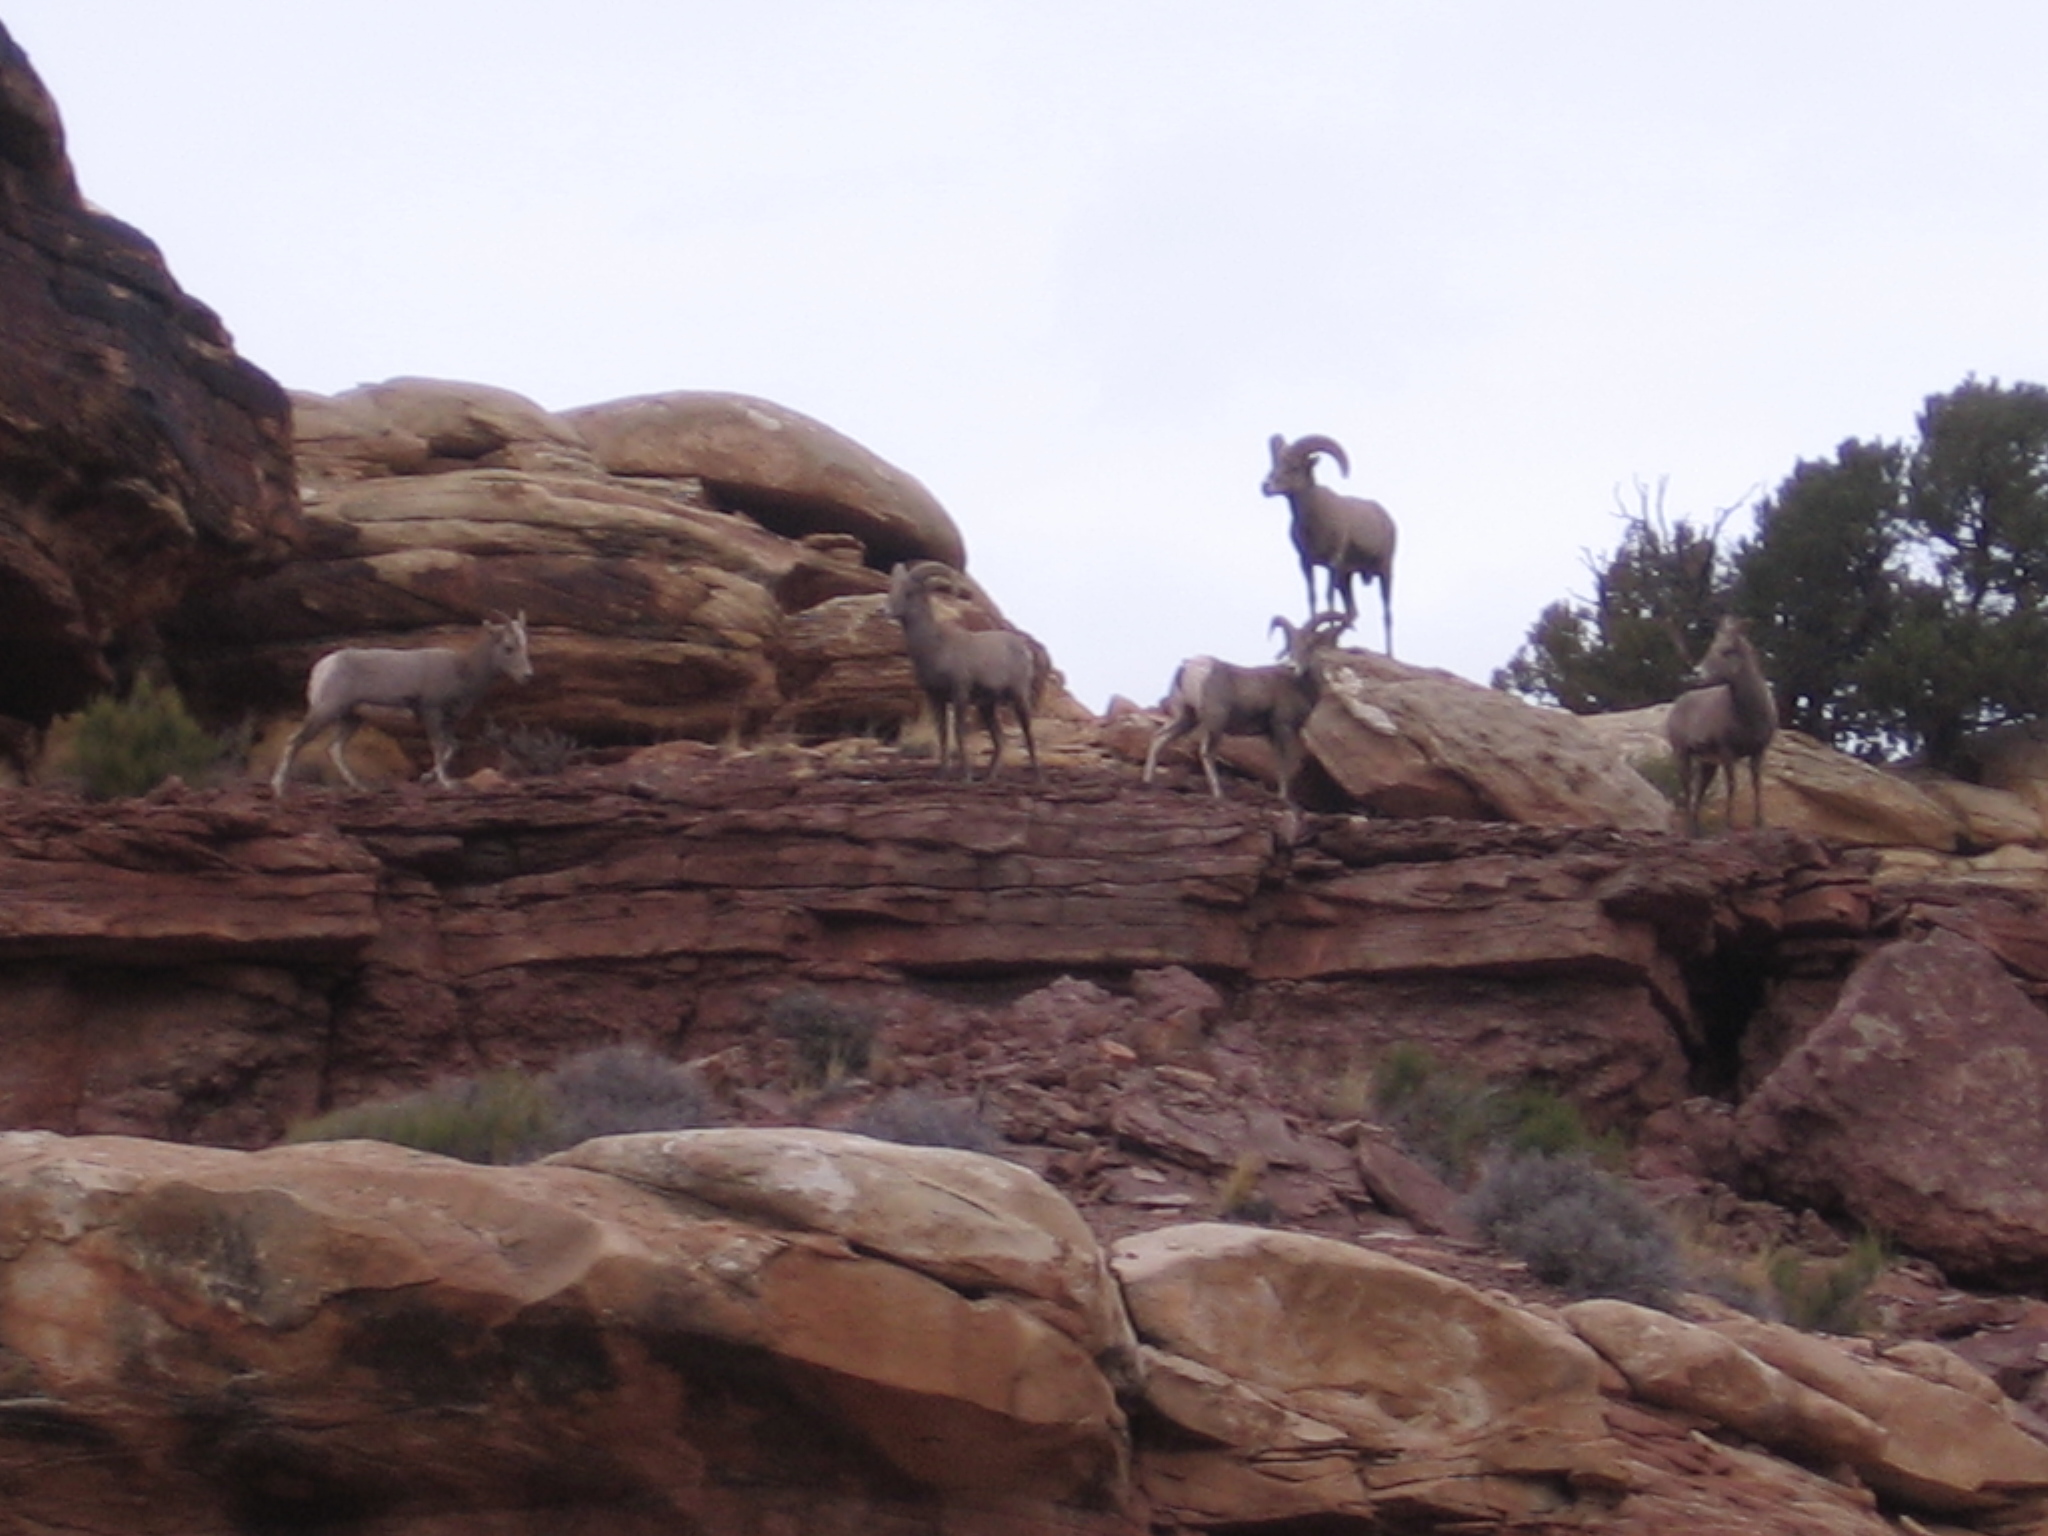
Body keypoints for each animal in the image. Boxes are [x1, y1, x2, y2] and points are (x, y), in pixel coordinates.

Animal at [268, 614, 532, 798]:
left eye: (524, 647)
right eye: (508, 648)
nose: (528, 676)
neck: (463, 670)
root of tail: (323, 667)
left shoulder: (447, 721)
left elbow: (452, 747)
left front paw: (427, 778)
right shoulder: (431, 713)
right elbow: (439, 747)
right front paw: (447, 784)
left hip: (351, 719)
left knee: (335, 749)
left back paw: (362, 788)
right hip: (326, 711)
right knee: (296, 740)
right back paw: (279, 788)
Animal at [884, 561, 1040, 782]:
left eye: (909, 592)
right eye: (893, 588)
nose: (884, 610)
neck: (936, 648)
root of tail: (1024, 649)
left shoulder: (960, 694)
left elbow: (958, 732)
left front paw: (966, 776)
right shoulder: (935, 698)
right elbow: (942, 734)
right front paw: (941, 775)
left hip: (1018, 697)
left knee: (1028, 733)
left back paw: (1038, 777)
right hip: (987, 707)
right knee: (1000, 739)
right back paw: (989, 779)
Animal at [1146, 610, 1351, 811]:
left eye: (1310, 646)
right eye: (1292, 645)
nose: (1291, 666)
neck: (1299, 685)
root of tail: (1189, 666)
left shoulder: (1272, 734)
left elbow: (1277, 763)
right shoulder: (1282, 727)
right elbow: (1285, 763)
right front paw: (1285, 799)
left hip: (1186, 717)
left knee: (1159, 738)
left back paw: (1148, 780)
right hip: (1216, 720)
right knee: (1206, 751)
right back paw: (1219, 794)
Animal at [1253, 434, 1400, 655]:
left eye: (1294, 467)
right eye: (1276, 464)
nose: (1266, 486)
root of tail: (1386, 518)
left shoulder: (1334, 563)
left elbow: (1328, 597)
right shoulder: (1307, 563)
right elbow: (1313, 596)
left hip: (1384, 572)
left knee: (1387, 614)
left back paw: (1389, 654)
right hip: (1347, 578)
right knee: (1352, 610)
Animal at [1662, 618, 1777, 843]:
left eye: (1727, 650)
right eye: (1711, 648)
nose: (1697, 672)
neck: (1749, 716)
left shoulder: (1758, 751)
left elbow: (1756, 784)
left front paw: (1760, 823)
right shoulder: (1727, 751)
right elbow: (1732, 785)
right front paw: (1729, 825)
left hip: (1708, 764)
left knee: (1698, 794)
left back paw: (1698, 833)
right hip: (1682, 754)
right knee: (1688, 792)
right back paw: (1691, 833)